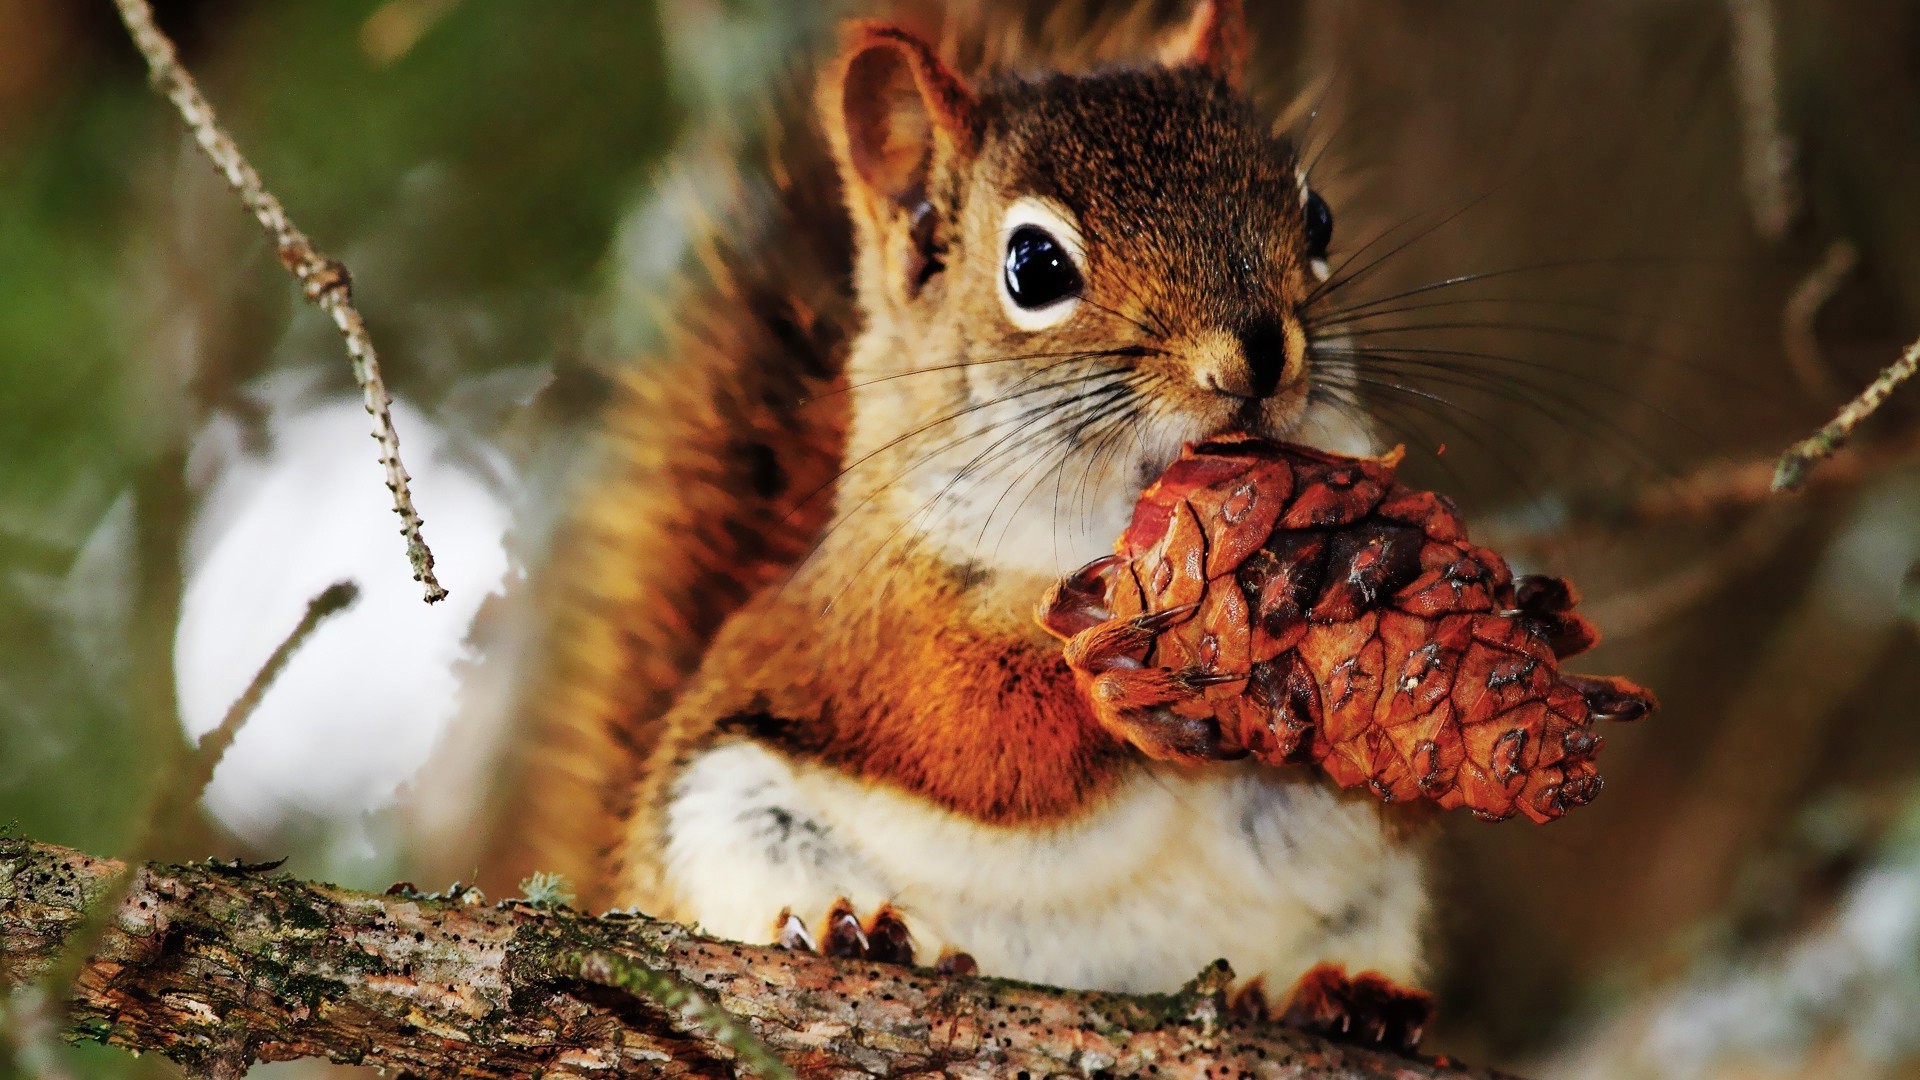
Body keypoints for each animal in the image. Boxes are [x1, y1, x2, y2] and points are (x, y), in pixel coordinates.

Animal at [510, 0, 1443, 1045]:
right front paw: (1109, 682)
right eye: (1033, 267)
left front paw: (1364, 583)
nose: (1256, 356)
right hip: (723, 820)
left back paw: (1339, 998)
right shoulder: (878, 630)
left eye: (1317, 218)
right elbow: (973, 728)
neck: (1110, 535)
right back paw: (853, 931)